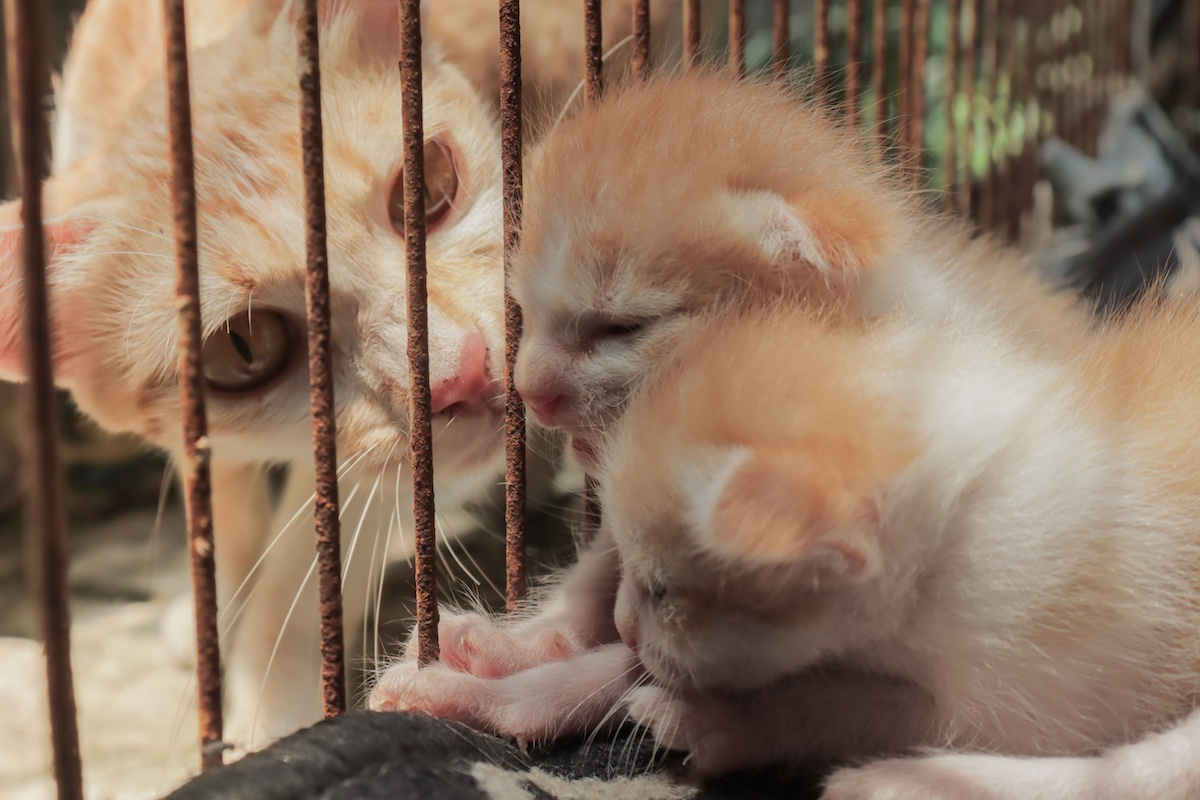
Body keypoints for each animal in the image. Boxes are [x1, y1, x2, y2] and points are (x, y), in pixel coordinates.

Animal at [372, 296, 1200, 800]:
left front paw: (719, 723)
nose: (627, 623)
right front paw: (485, 683)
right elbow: (612, 674)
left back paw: (903, 782)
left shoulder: (1024, 690)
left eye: (664, 590)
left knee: (1145, 773)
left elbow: (831, 701)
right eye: (632, 576)